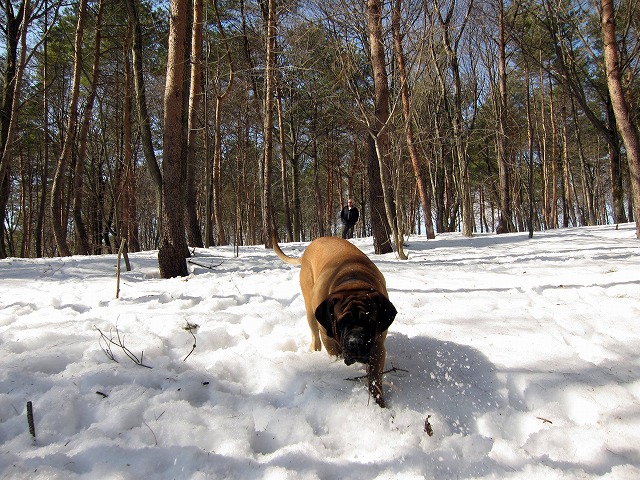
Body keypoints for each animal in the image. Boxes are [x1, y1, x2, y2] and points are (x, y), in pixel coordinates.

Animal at [272, 234, 398, 406]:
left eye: (370, 321)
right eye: (342, 322)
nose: (356, 342)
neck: (354, 282)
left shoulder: (377, 346)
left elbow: (375, 379)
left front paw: (378, 403)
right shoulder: (328, 337)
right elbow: (334, 350)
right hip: (310, 310)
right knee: (314, 333)